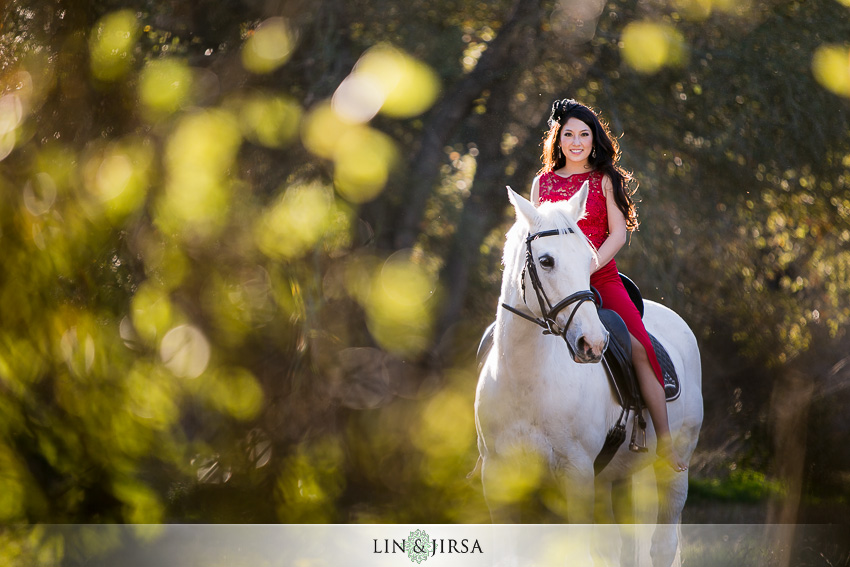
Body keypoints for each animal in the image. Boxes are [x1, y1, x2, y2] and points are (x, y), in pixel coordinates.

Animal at [470, 186, 704, 567]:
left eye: (587, 261)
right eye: (546, 261)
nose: (592, 344)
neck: (527, 382)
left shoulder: (575, 476)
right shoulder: (500, 479)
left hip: (672, 468)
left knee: (662, 544)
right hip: (615, 477)